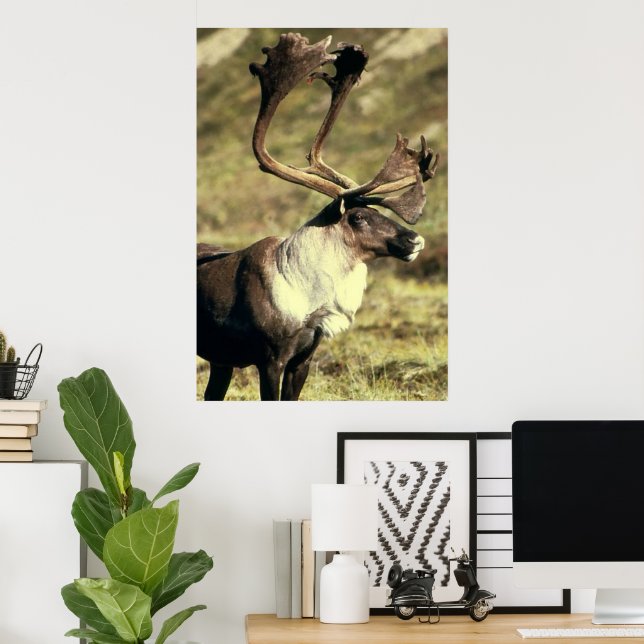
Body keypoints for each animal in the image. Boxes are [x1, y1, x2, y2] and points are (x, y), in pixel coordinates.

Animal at [197, 33, 440, 401]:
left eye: (376, 210)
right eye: (357, 217)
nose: (416, 240)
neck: (307, 298)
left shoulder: (304, 358)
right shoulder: (270, 359)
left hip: (221, 361)